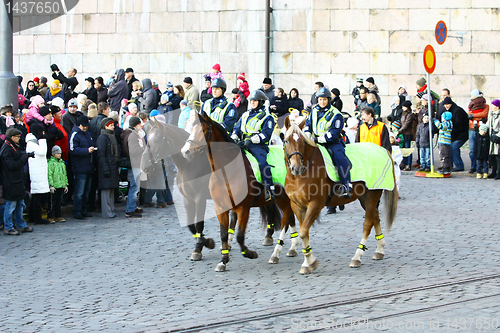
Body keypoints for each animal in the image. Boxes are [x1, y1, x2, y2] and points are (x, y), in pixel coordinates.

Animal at [180, 113, 296, 272]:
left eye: (203, 130)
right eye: (190, 128)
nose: (185, 151)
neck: (226, 172)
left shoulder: (243, 208)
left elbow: (240, 236)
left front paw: (250, 253)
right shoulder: (220, 208)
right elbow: (223, 234)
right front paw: (223, 260)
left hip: (285, 199)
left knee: (286, 220)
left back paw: (276, 253)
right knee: (290, 218)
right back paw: (292, 248)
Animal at [286, 118, 398, 274]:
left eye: (302, 141)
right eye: (286, 140)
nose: (295, 167)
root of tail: (383, 149)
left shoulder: (315, 205)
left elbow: (303, 232)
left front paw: (310, 262)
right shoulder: (297, 206)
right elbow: (304, 233)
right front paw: (308, 262)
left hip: (372, 195)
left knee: (368, 224)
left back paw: (357, 257)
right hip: (365, 198)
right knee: (375, 217)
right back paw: (379, 250)